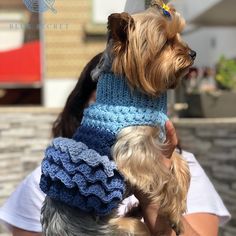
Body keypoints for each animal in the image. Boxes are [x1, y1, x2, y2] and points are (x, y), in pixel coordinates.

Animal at [40, 0, 195, 235]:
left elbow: (179, 163)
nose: (193, 53)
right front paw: (175, 213)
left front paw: (180, 198)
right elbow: (165, 176)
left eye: (178, 36)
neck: (131, 93)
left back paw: (136, 209)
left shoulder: (157, 144)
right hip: (124, 230)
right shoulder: (133, 150)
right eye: (165, 42)